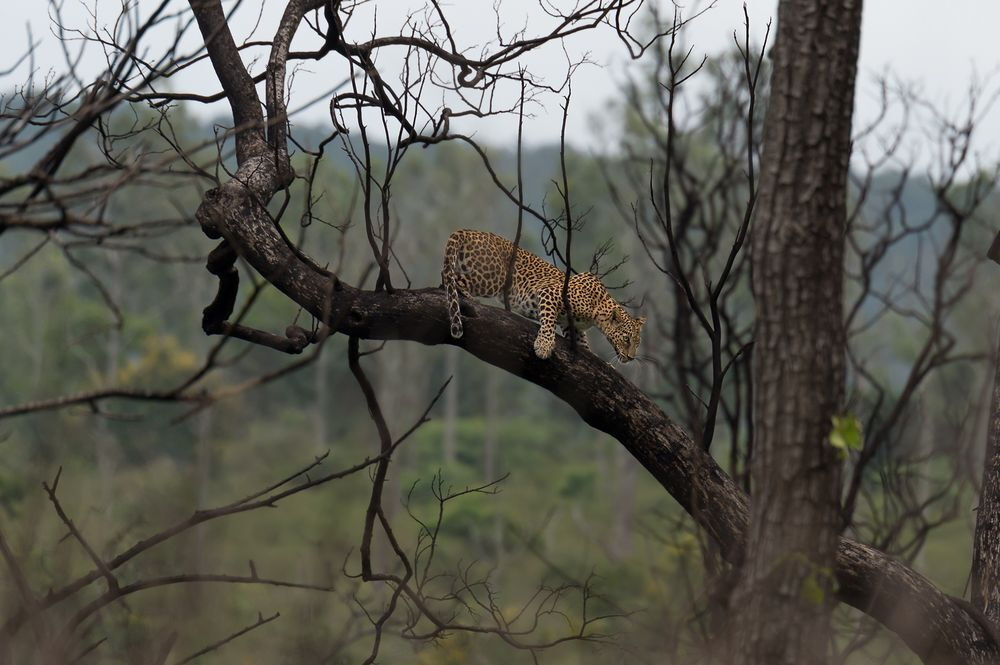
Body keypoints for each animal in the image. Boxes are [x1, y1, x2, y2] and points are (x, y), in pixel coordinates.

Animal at [440, 230, 644, 364]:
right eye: (626, 339)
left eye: (637, 342)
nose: (631, 357)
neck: (597, 312)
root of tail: (468, 231)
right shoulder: (550, 293)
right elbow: (548, 321)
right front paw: (544, 346)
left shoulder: (571, 324)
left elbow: (582, 342)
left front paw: (592, 355)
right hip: (492, 277)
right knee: (452, 278)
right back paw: (467, 295)